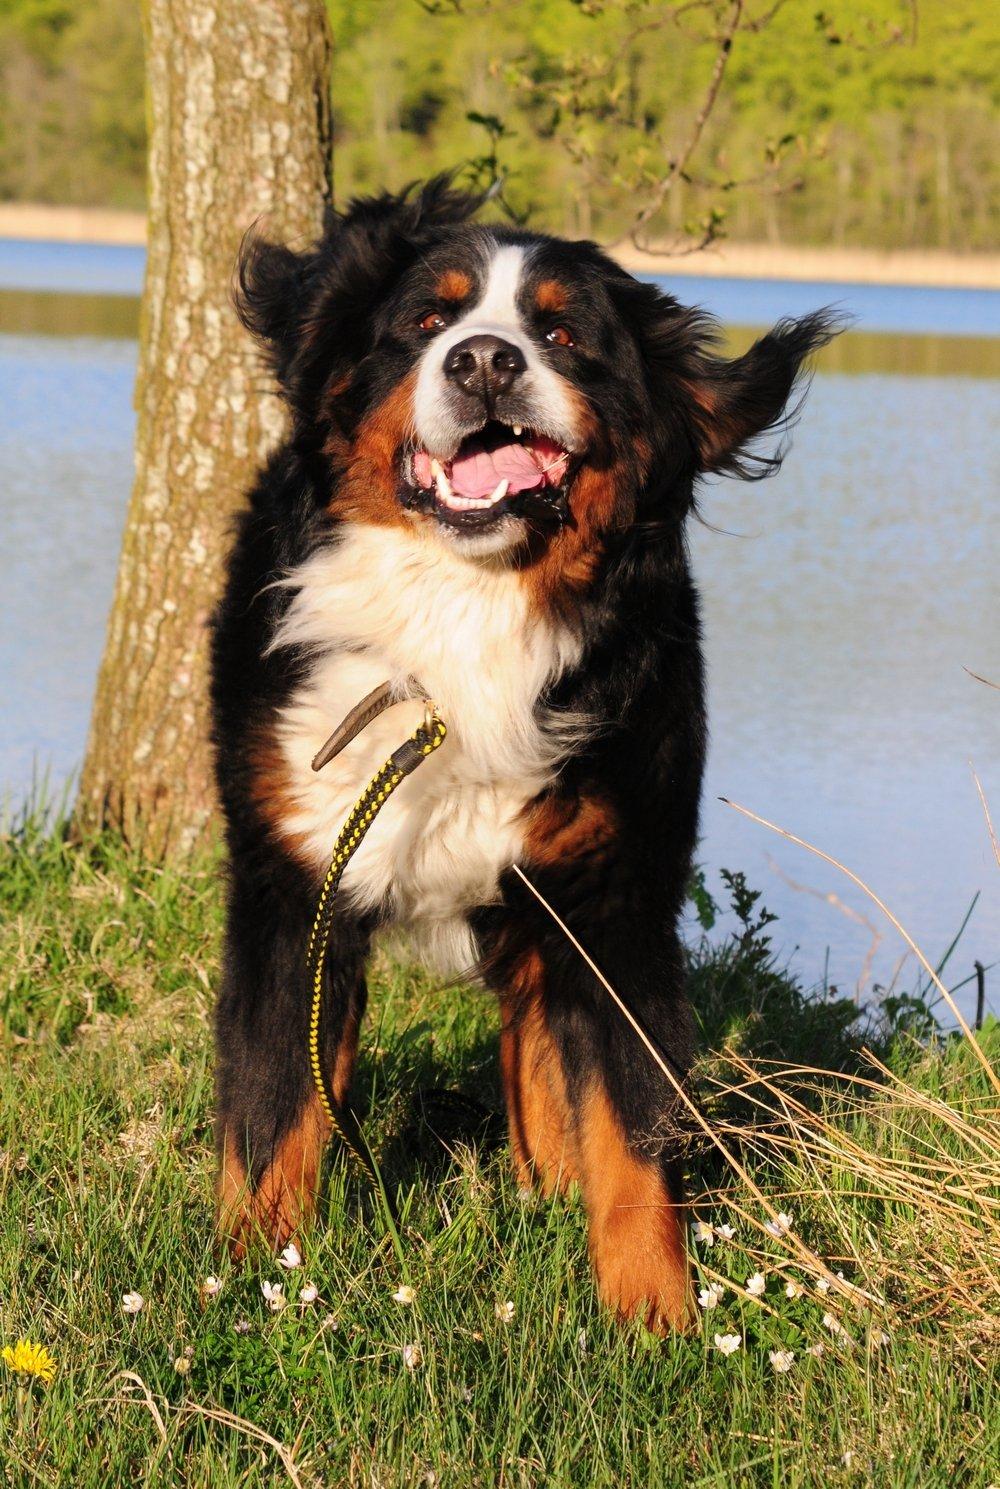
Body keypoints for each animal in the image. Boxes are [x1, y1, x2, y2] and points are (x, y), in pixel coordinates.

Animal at [211, 180, 833, 1334]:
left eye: (563, 335)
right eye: (426, 319)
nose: (486, 362)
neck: (462, 619)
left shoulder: (612, 895)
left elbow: (629, 1127)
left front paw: (652, 1318)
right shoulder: (292, 886)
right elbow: (275, 1106)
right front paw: (252, 1285)